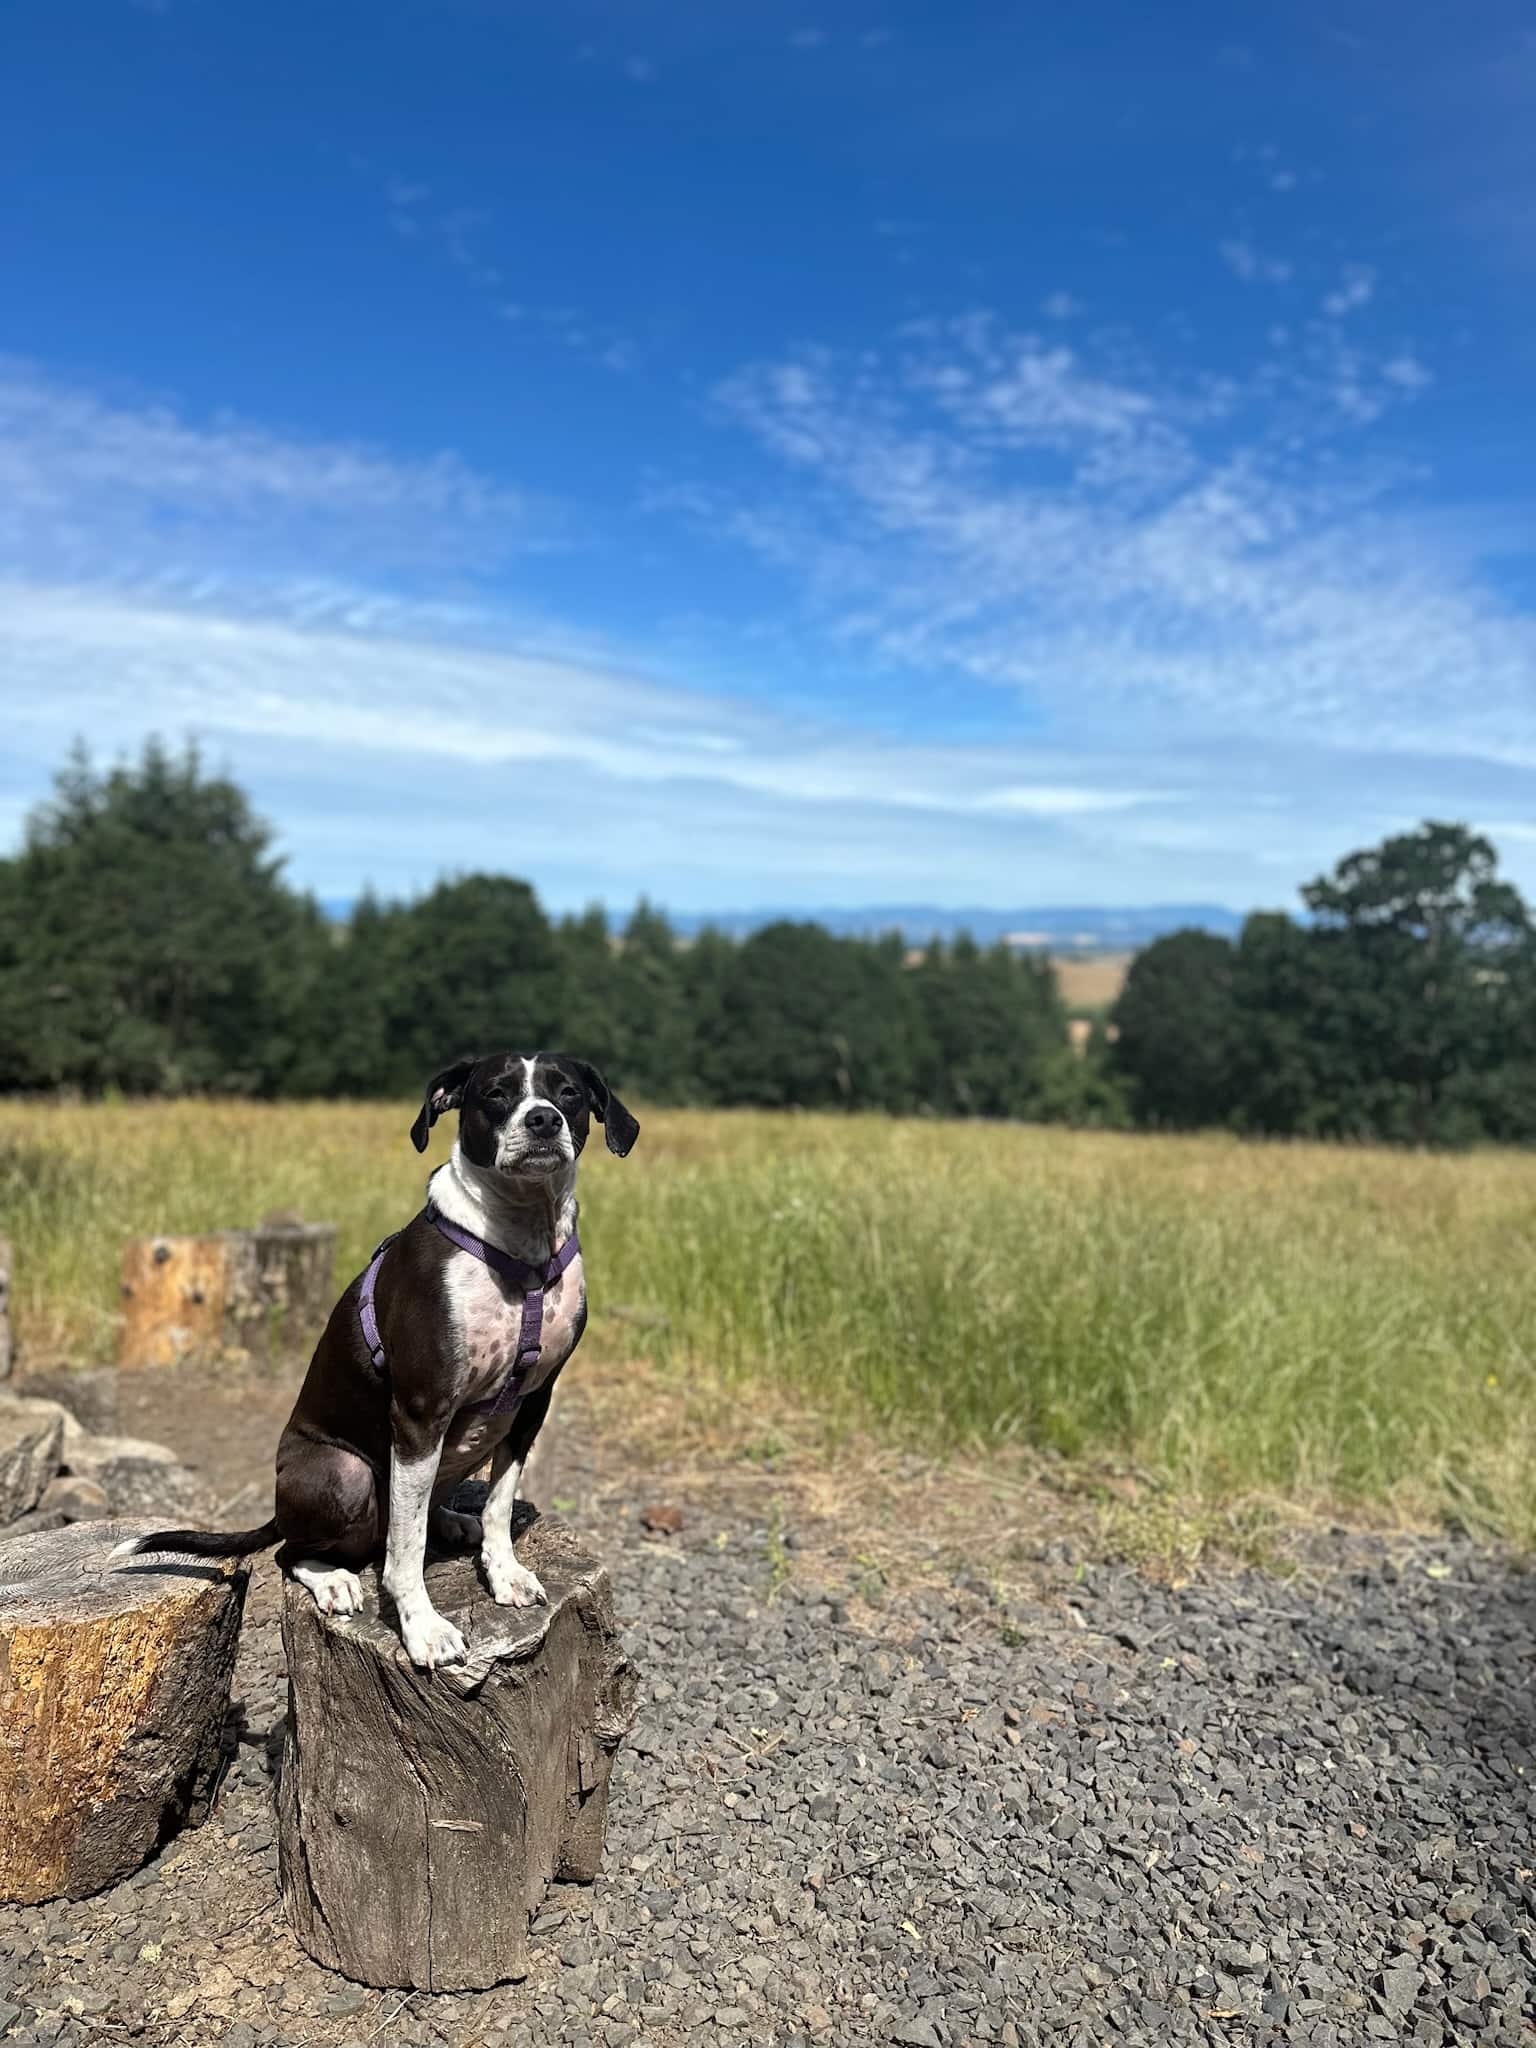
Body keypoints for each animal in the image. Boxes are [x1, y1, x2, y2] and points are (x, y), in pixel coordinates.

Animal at [114, 1051, 638, 1671]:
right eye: (496, 1093)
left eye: (568, 1093)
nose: (543, 1120)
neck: (518, 1243)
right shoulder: (420, 1410)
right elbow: (404, 1553)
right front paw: (423, 1629)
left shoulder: (532, 1404)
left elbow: (498, 1505)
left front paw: (504, 1572)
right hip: (346, 1473)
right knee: (296, 1549)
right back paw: (335, 1579)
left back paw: (451, 1521)